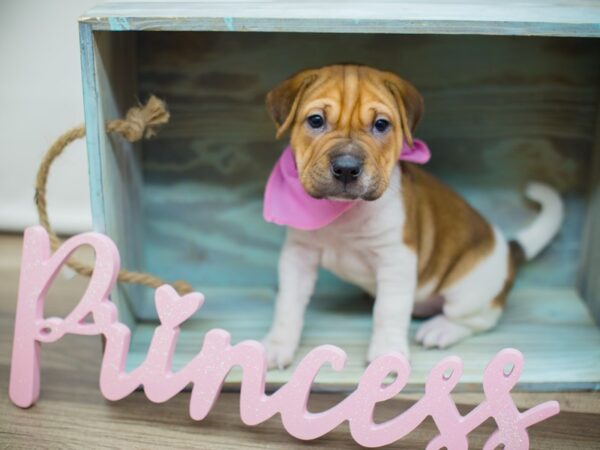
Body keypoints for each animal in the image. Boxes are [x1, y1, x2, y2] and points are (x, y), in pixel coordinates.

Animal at [262, 64, 564, 370]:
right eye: (316, 121)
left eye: (381, 125)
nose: (346, 168)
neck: (344, 212)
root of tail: (509, 251)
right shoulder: (298, 256)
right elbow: (288, 305)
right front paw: (277, 345)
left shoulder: (397, 259)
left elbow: (388, 310)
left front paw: (387, 353)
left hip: (467, 291)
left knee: (481, 318)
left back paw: (441, 329)